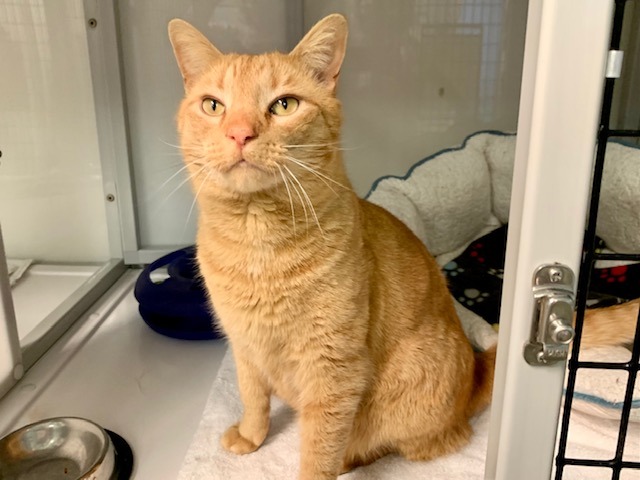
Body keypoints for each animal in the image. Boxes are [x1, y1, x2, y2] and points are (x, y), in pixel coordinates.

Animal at [168, 14, 639, 480]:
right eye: (213, 105)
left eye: (284, 105)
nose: (240, 135)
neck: (257, 239)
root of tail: (476, 368)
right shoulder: (244, 346)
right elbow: (253, 397)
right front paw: (252, 436)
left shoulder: (332, 372)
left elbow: (318, 451)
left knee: (416, 443)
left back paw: (353, 457)